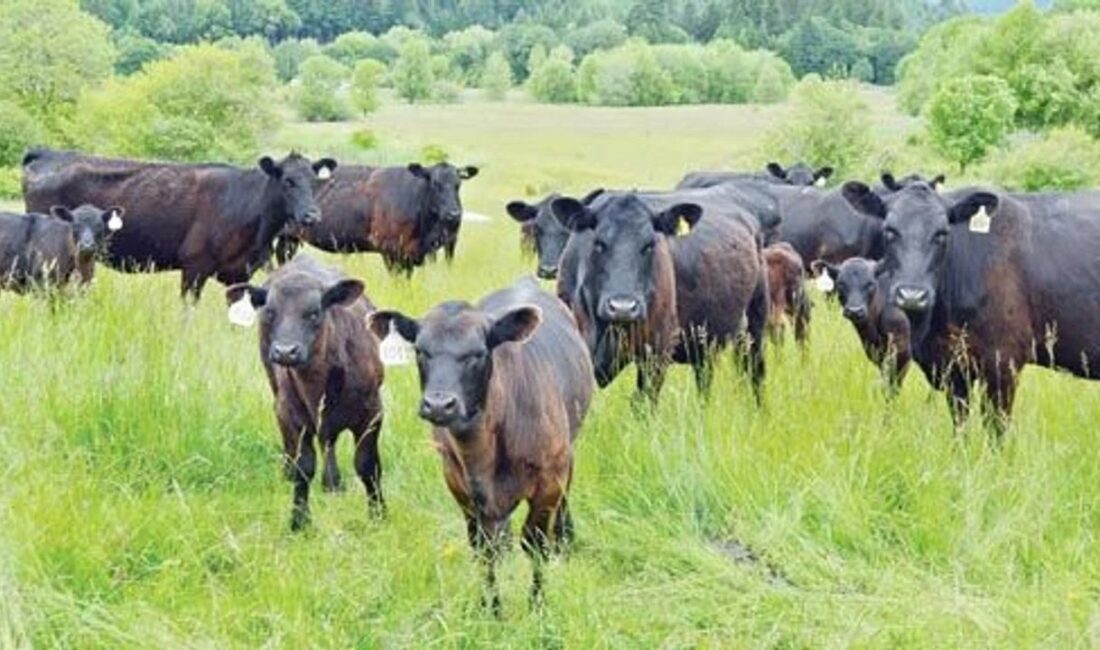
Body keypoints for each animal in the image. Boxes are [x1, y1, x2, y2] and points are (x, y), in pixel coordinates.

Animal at [23, 148, 334, 299]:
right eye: (287, 181)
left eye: (315, 180)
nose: (313, 215)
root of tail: (48, 153)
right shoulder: (194, 267)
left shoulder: (239, 272)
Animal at [369, 279, 594, 615]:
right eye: (421, 351)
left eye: (477, 353)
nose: (439, 404)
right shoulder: (459, 485)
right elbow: (483, 549)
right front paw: (492, 609)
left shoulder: (549, 481)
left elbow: (536, 544)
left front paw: (537, 605)